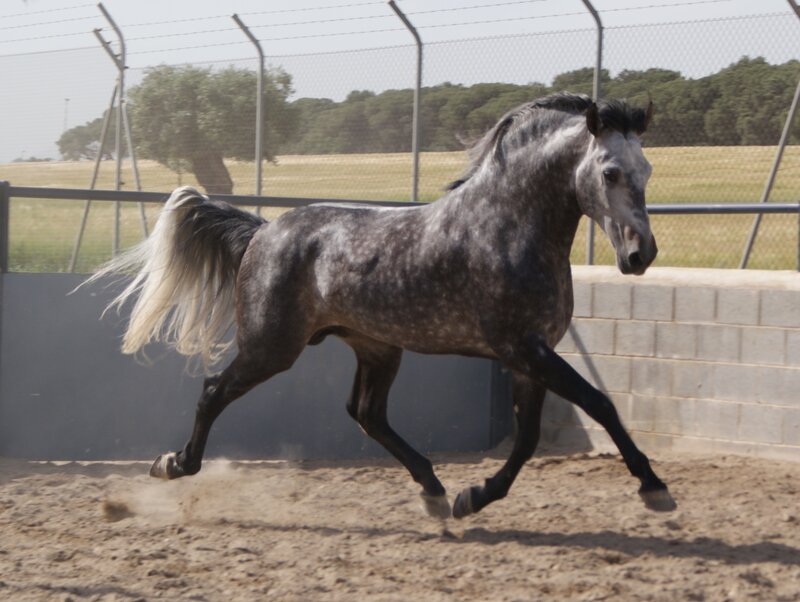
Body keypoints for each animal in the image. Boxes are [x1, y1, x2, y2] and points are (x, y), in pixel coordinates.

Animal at [87, 91, 676, 520]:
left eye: (647, 168)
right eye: (609, 172)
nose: (640, 254)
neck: (507, 227)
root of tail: (263, 232)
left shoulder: (530, 356)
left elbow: (529, 439)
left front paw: (472, 498)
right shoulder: (522, 349)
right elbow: (599, 404)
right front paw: (654, 487)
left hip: (376, 346)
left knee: (366, 413)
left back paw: (434, 490)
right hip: (271, 346)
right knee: (214, 391)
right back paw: (173, 464)